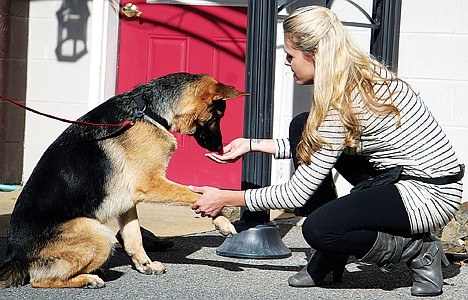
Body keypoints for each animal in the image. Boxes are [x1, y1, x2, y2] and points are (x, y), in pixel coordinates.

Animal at [0, 72, 247, 288]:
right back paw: (87, 279)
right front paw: (222, 220)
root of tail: (14, 257)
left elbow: (133, 235)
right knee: (40, 279)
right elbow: (193, 193)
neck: (148, 111)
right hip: (98, 233)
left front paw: (145, 265)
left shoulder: (128, 200)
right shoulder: (151, 184)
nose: (220, 149)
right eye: (217, 116)